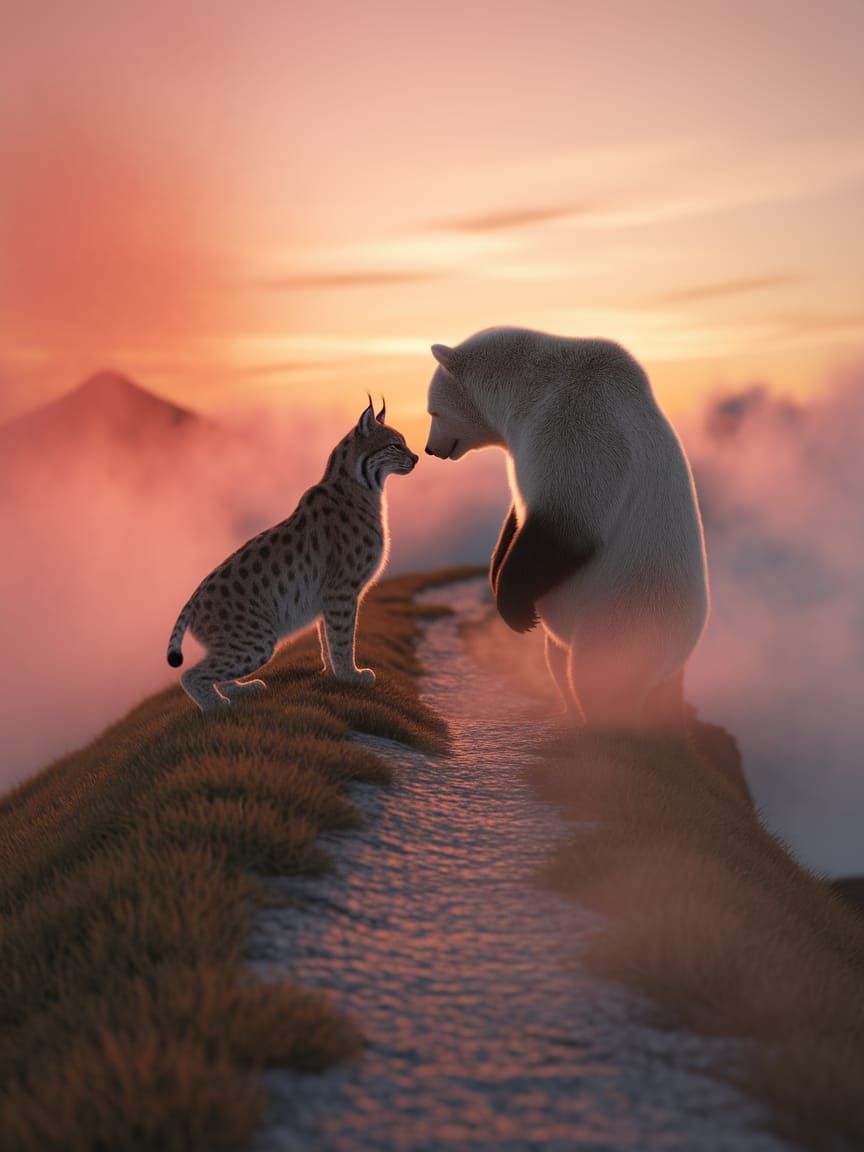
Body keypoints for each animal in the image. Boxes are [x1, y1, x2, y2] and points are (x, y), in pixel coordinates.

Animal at [424, 326, 709, 725]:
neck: (529, 388)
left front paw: (514, 607)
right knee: (559, 656)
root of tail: (686, 646)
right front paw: (496, 569)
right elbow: (521, 513)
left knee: (599, 671)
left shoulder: (577, 421)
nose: (430, 449)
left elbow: (566, 521)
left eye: (433, 411)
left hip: (629, 611)